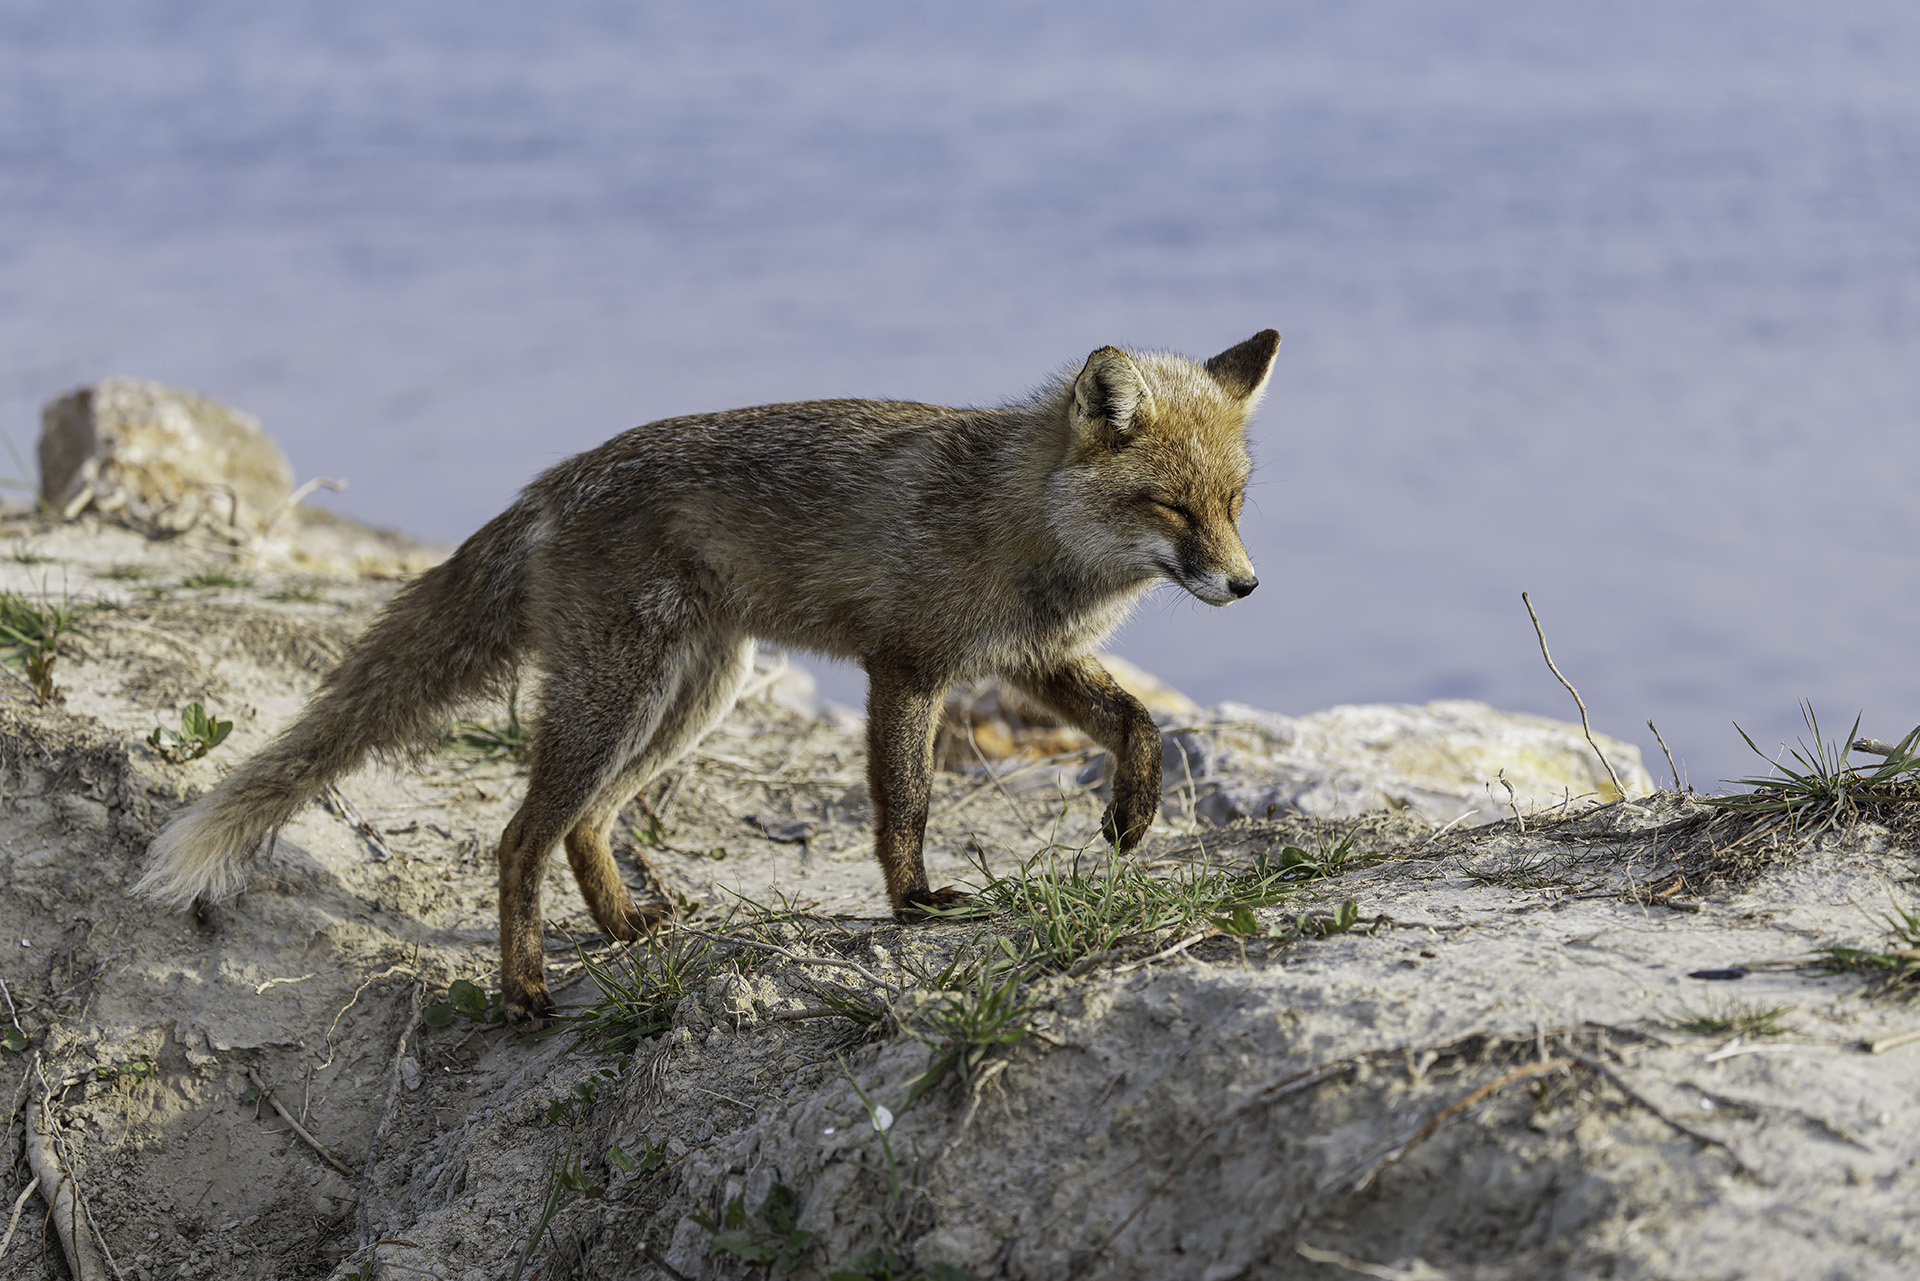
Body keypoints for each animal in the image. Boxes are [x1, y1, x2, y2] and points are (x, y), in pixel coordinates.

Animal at [133, 330, 1277, 1021]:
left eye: (1233, 504)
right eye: (1172, 507)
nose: (1246, 583)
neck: (1021, 521)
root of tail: (549, 483)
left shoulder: (1027, 662)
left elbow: (1140, 722)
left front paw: (1132, 814)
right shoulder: (908, 664)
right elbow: (905, 806)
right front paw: (915, 907)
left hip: (694, 696)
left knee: (587, 823)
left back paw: (622, 926)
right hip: (621, 700)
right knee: (520, 838)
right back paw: (525, 987)